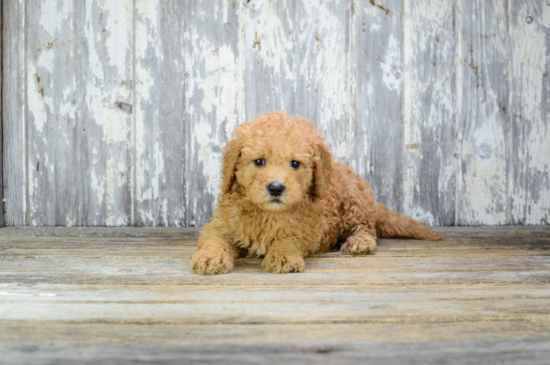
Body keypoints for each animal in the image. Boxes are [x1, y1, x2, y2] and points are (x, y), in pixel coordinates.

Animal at [192, 111, 442, 272]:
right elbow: (215, 240)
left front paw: (283, 257)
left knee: (366, 228)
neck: (269, 213)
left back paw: (359, 243)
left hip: (354, 202)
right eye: (259, 161)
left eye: (295, 163)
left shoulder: (307, 230)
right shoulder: (221, 224)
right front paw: (210, 259)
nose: (276, 188)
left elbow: (288, 239)